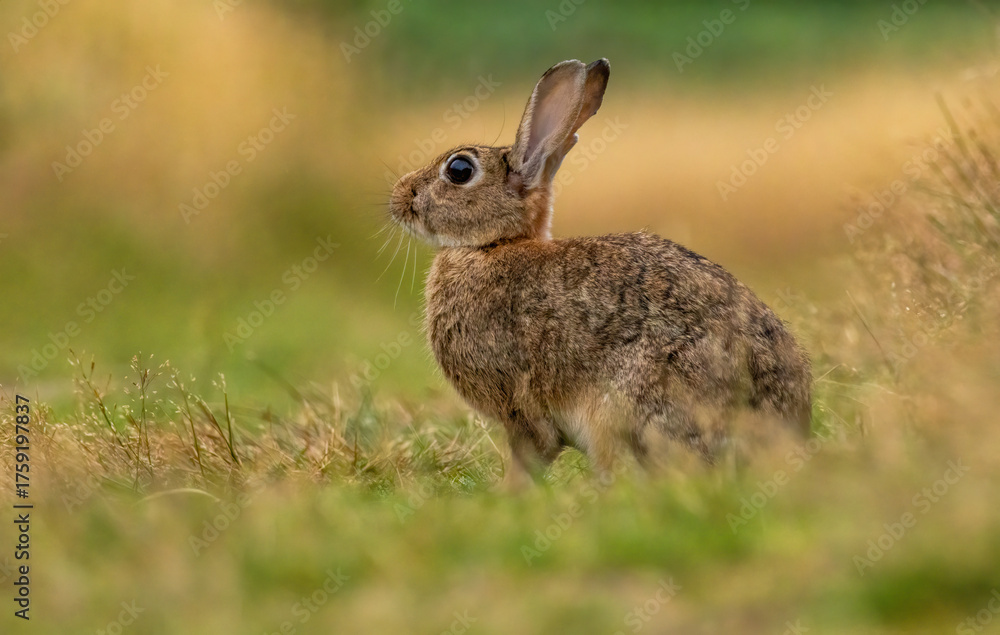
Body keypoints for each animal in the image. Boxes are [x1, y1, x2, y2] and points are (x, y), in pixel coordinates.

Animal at [388, 58, 811, 485]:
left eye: (459, 169)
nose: (397, 196)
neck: (493, 245)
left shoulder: (521, 406)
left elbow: (531, 451)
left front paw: (507, 492)